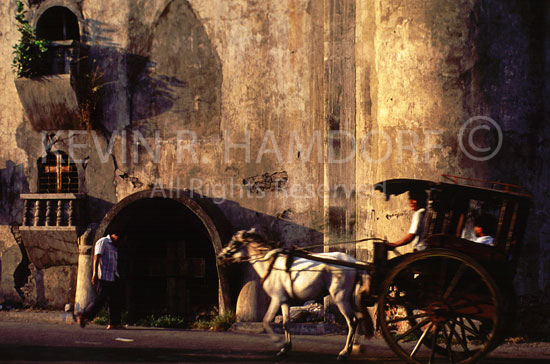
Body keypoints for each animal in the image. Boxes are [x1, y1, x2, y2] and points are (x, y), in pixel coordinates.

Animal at [219, 229, 376, 360]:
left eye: (234, 243)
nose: (220, 257)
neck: (271, 264)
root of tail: (353, 262)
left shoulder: (276, 299)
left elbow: (266, 320)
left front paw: (278, 342)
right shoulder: (284, 301)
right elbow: (286, 323)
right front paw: (285, 348)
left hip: (340, 297)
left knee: (352, 320)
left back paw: (344, 352)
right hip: (349, 298)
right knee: (359, 318)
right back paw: (355, 346)